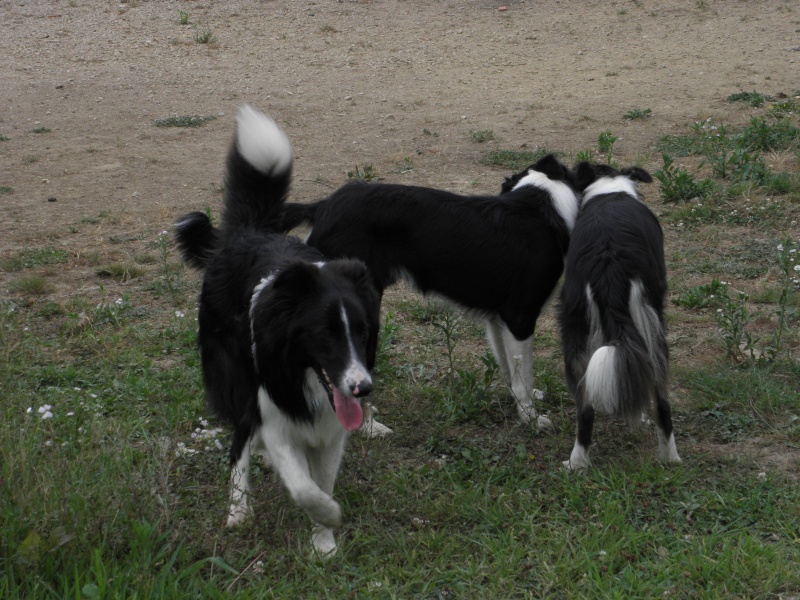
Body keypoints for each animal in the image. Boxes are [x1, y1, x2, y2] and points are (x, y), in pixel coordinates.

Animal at [175, 105, 382, 556]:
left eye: (362, 332)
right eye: (325, 336)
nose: (362, 389)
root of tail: (247, 232)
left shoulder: (330, 430)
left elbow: (320, 481)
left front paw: (324, 542)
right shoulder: (275, 415)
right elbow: (303, 486)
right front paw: (330, 517)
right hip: (236, 377)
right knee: (239, 440)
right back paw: (238, 509)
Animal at [278, 158, 580, 432]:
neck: (541, 207)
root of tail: (323, 207)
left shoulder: (498, 319)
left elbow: (508, 368)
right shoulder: (521, 318)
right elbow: (523, 376)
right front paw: (531, 418)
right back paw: (370, 427)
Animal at [556, 162, 680, 472]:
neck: (609, 188)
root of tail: (608, 265)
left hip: (573, 325)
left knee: (585, 409)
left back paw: (577, 463)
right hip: (654, 327)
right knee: (662, 400)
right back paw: (671, 457)